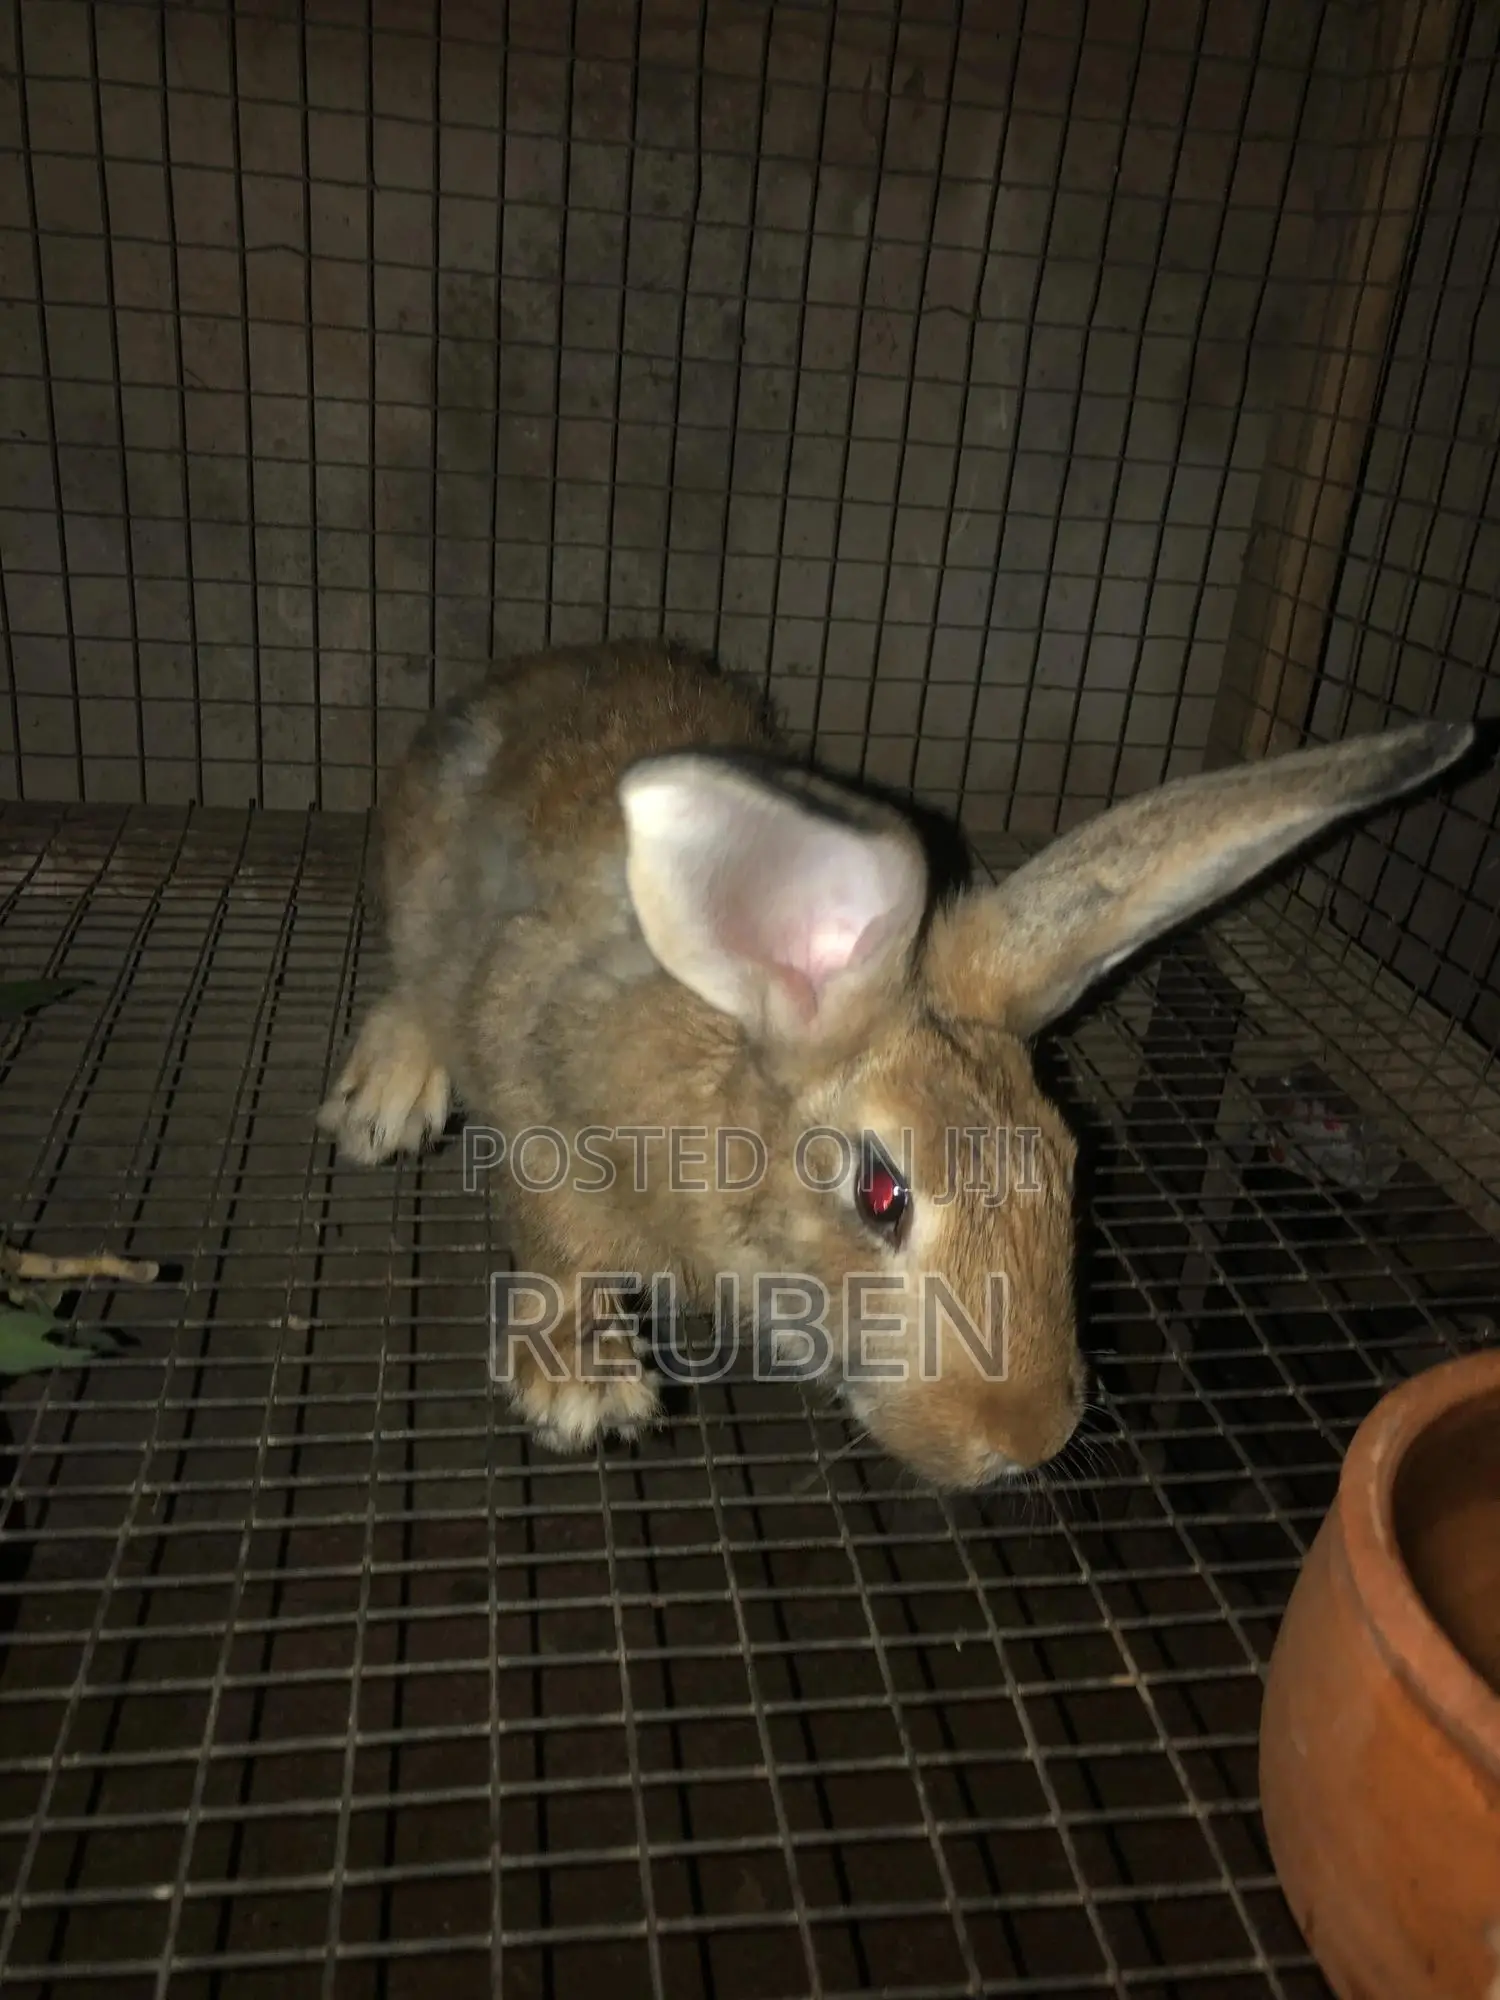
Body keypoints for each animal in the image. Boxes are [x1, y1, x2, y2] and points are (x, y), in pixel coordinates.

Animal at [316, 636, 1474, 1491]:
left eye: (1069, 1163)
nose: (1028, 1440)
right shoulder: (540, 1098)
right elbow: (556, 1246)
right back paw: (386, 1098)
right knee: (415, 979)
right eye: (881, 1193)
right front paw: (582, 1391)